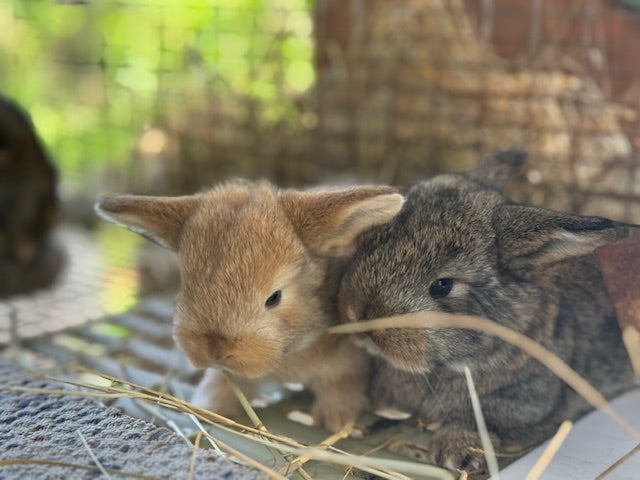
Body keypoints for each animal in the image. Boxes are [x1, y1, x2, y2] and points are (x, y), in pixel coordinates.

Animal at [95, 180, 404, 432]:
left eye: (274, 297)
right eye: (187, 284)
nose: (216, 351)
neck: (288, 353)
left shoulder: (347, 364)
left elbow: (342, 386)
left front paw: (336, 420)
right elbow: (221, 385)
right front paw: (211, 407)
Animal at [338, 149, 638, 471]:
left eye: (442, 286)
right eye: (369, 241)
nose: (359, 316)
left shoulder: (525, 400)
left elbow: (479, 417)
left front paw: (458, 451)